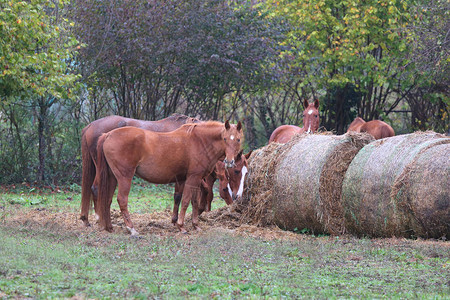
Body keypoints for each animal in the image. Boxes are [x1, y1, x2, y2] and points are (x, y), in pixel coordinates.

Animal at [95, 119, 243, 234]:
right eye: (225, 139)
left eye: (238, 139)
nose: (229, 162)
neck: (200, 141)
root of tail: (108, 135)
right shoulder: (192, 178)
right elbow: (186, 201)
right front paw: (181, 226)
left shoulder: (191, 179)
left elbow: (194, 202)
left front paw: (195, 225)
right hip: (124, 177)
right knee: (122, 199)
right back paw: (131, 229)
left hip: (113, 178)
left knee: (107, 199)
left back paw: (109, 227)